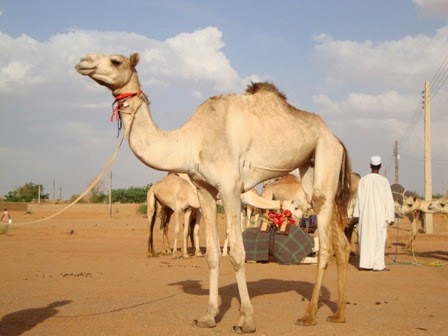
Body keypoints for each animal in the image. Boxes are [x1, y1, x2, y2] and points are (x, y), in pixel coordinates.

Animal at [75, 53, 352, 334]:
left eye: (116, 61)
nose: (83, 61)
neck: (191, 141)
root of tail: (336, 138)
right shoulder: (204, 190)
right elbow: (211, 255)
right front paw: (208, 317)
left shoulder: (230, 187)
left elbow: (238, 254)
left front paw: (246, 320)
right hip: (311, 169)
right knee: (340, 241)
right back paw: (338, 314)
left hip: (325, 155)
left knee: (326, 243)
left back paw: (309, 315)